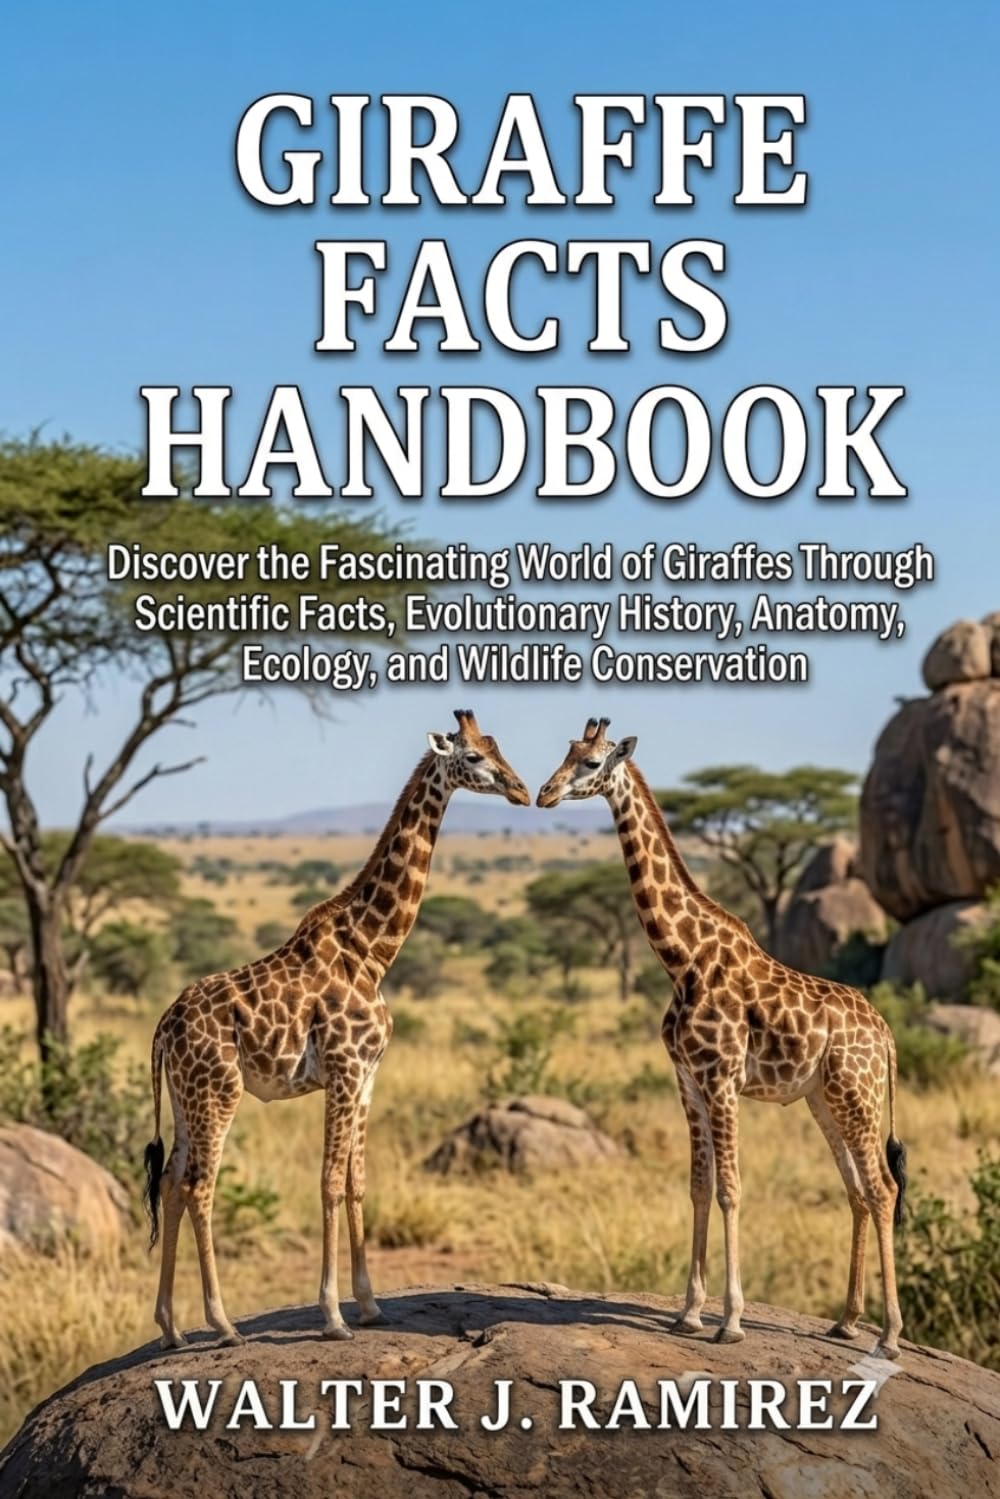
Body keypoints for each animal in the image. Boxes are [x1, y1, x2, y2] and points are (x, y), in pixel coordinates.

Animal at [143, 709, 529, 1347]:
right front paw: (332, 1316)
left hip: (183, 1098)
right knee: (199, 1187)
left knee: (172, 1184)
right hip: (219, 1092)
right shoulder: (344, 1070)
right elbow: (326, 1181)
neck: (372, 950)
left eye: (500, 748)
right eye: (473, 756)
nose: (522, 790)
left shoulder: (368, 1076)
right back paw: (222, 1324)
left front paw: (370, 1305)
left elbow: (356, 1181)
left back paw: (172, 1329)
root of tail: (163, 1027)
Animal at [537, 717, 908, 1359]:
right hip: (823, 1100)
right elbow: (698, 1186)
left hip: (856, 1097)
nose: (544, 793)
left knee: (883, 1189)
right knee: (858, 1190)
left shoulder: (722, 1080)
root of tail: (884, 1032)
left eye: (591, 762)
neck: (681, 958)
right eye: (567, 752)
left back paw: (888, 1335)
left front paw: (730, 1320)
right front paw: (688, 1312)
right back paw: (846, 1321)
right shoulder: (687, 1081)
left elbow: (731, 1188)